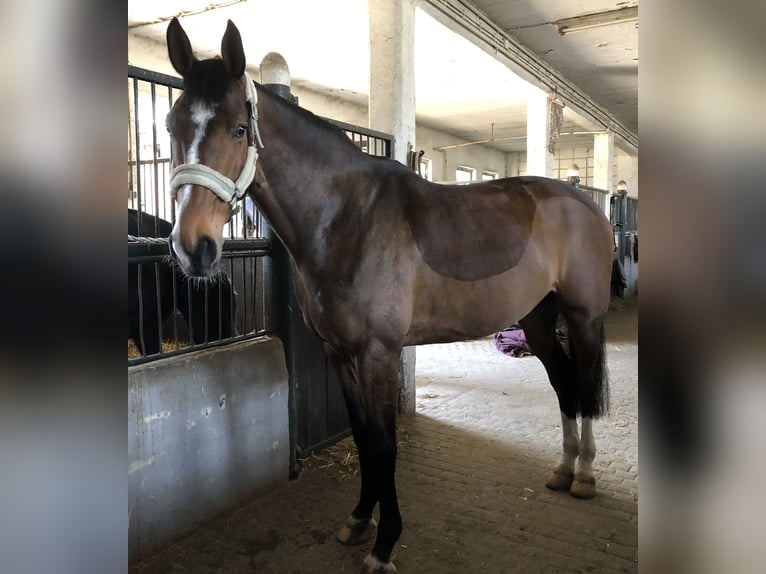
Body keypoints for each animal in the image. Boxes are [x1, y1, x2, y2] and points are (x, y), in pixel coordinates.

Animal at [165, 18, 616, 574]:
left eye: (238, 129)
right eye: (172, 126)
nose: (194, 248)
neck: (345, 217)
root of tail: (587, 204)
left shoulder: (379, 353)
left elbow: (384, 444)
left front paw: (384, 545)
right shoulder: (340, 353)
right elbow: (362, 437)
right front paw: (359, 519)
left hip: (583, 318)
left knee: (585, 386)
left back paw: (586, 476)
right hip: (537, 321)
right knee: (565, 386)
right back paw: (563, 469)